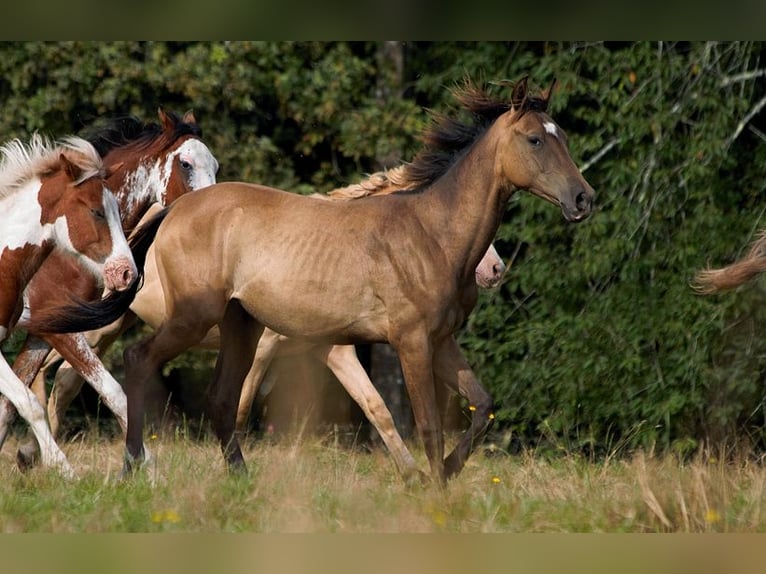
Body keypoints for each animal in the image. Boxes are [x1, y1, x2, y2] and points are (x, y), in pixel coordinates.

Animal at [54, 79, 596, 488]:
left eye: (563, 136)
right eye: (535, 139)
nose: (583, 199)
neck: (432, 234)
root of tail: (173, 211)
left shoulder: (439, 341)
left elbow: (480, 407)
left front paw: (437, 476)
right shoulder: (410, 342)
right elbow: (425, 424)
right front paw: (434, 491)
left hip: (240, 327)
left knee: (218, 398)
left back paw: (240, 481)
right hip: (190, 318)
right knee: (135, 362)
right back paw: (129, 468)